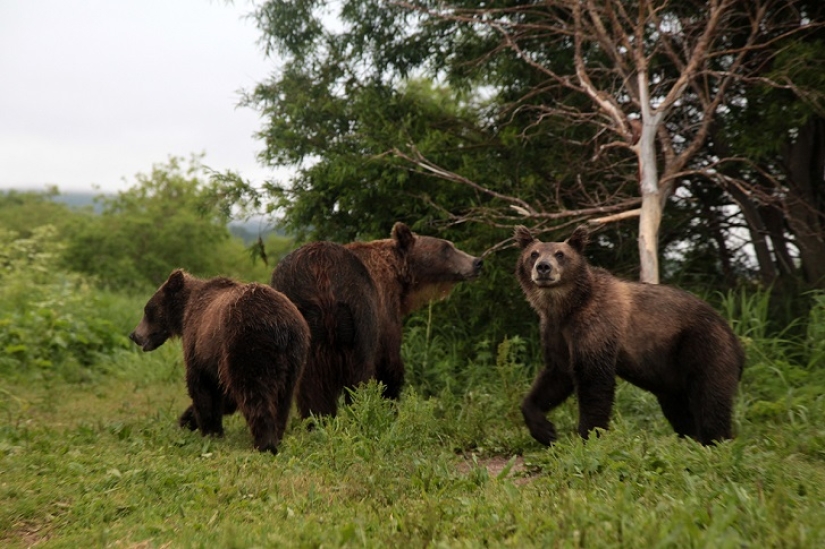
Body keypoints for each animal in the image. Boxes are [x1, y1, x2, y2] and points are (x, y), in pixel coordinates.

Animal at [129, 270, 308, 454]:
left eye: (147, 310)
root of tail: (280, 324)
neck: (184, 312)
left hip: (246, 344)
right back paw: (277, 435)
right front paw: (187, 420)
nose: (134, 335)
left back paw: (264, 443)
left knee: (254, 393)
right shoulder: (215, 361)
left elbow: (202, 389)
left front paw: (209, 430)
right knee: (283, 398)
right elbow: (225, 396)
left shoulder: (198, 344)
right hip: (293, 357)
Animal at [270, 220, 482, 418]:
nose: (477, 261)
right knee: (359, 373)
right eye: (446, 248)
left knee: (309, 386)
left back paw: (318, 420)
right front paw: (390, 405)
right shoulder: (384, 310)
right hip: (359, 314)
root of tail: (320, 274)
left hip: (299, 325)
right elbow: (390, 366)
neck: (398, 276)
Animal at [512, 225, 744, 444]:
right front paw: (544, 430)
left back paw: (714, 441)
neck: (567, 306)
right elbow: (556, 375)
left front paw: (588, 435)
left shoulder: (596, 326)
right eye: (533, 253)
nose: (543, 267)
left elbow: (593, 381)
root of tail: (733, 336)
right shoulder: (556, 332)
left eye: (560, 254)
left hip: (702, 346)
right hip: (672, 374)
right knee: (678, 408)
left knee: (709, 401)